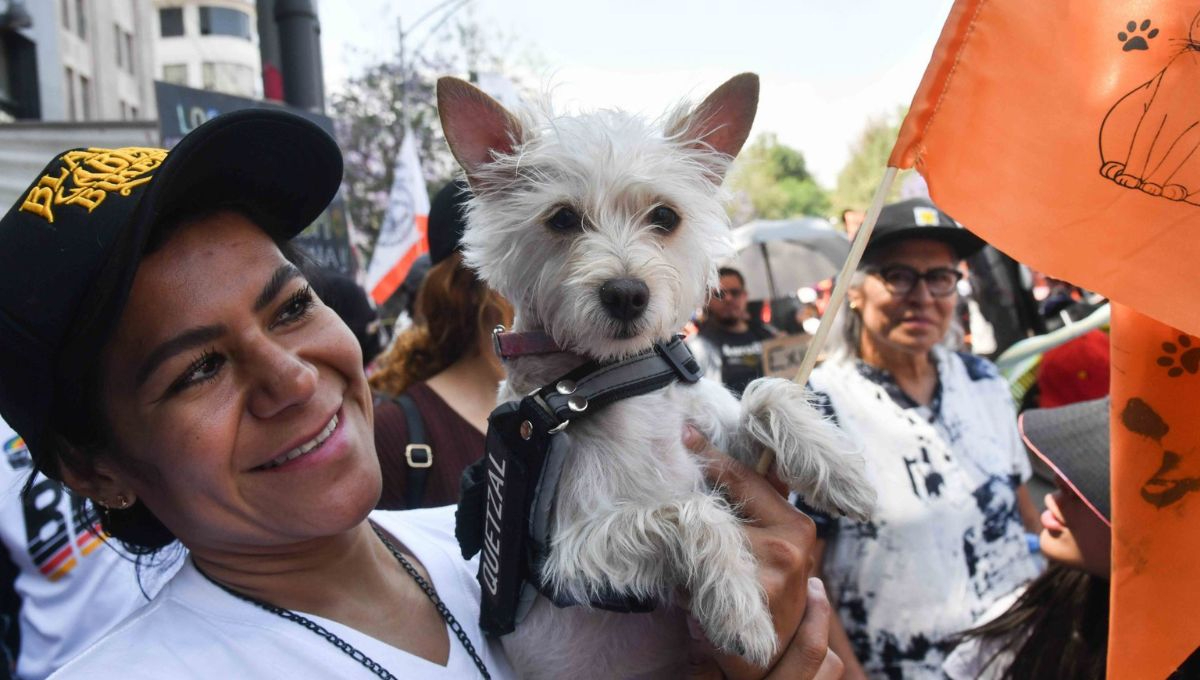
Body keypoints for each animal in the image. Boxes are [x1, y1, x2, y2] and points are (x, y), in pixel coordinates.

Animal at [439, 71, 873, 676]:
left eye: (665, 217)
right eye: (562, 219)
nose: (626, 293)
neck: (606, 379)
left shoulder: (720, 444)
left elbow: (764, 393)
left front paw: (842, 470)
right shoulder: (566, 558)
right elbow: (691, 513)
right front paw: (740, 613)